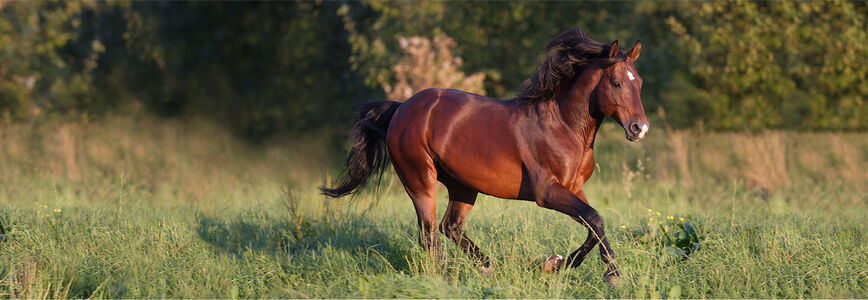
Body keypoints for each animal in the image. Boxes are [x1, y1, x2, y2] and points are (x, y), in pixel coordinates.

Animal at [322, 27, 648, 282]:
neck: (564, 126)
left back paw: (488, 269)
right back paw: (445, 278)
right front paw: (612, 275)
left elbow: (593, 225)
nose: (639, 128)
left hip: (463, 186)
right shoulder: (547, 192)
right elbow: (595, 219)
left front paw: (554, 265)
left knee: (450, 227)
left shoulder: (574, 188)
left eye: (640, 82)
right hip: (420, 181)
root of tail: (401, 108)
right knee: (429, 234)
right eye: (616, 82)